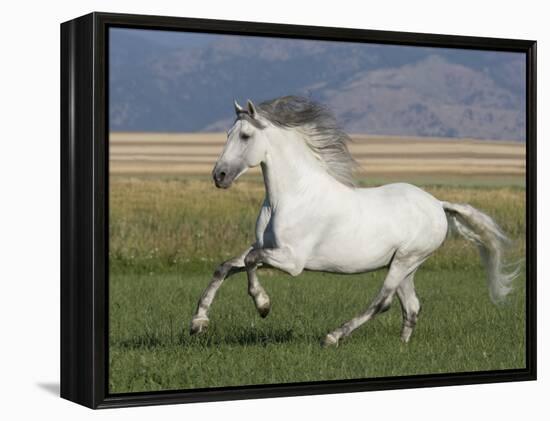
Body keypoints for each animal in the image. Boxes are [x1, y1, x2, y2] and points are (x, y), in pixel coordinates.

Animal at [191, 97, 520, 346]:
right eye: (227, 133)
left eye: (245, 136)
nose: (219, 176)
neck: (290, 197)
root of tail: (438, 204)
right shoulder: (264, 247)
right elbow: (225, 266)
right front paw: (198, 323)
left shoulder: (292, 260)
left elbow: (250, 263)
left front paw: (263, 306)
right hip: (406, 265)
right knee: (411, 306)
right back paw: (401, 348)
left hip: (406, 260)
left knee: (383, 301)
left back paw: (333, 337)